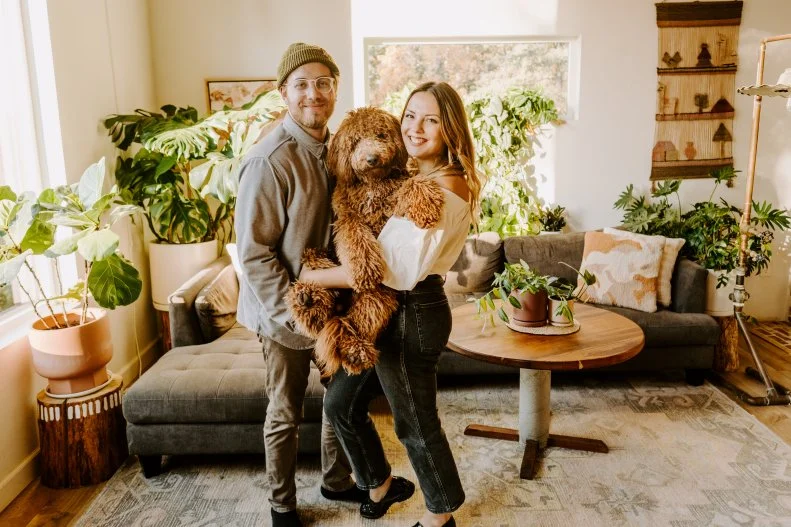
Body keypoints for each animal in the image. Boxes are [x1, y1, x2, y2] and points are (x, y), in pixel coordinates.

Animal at [284, 107, 446, 378]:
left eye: (380, 135)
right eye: (355, 140)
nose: (371, 158)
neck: (372, 183)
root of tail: (341, 306)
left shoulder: (392, 202)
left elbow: (412, 182)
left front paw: (426, 202)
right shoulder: (347, 218)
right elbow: (355, 238)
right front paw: (364, 268)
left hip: (378, 297)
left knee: (353, 322)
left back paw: (354, 351)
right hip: (319, 259)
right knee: (323, 312)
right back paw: (307, 299)